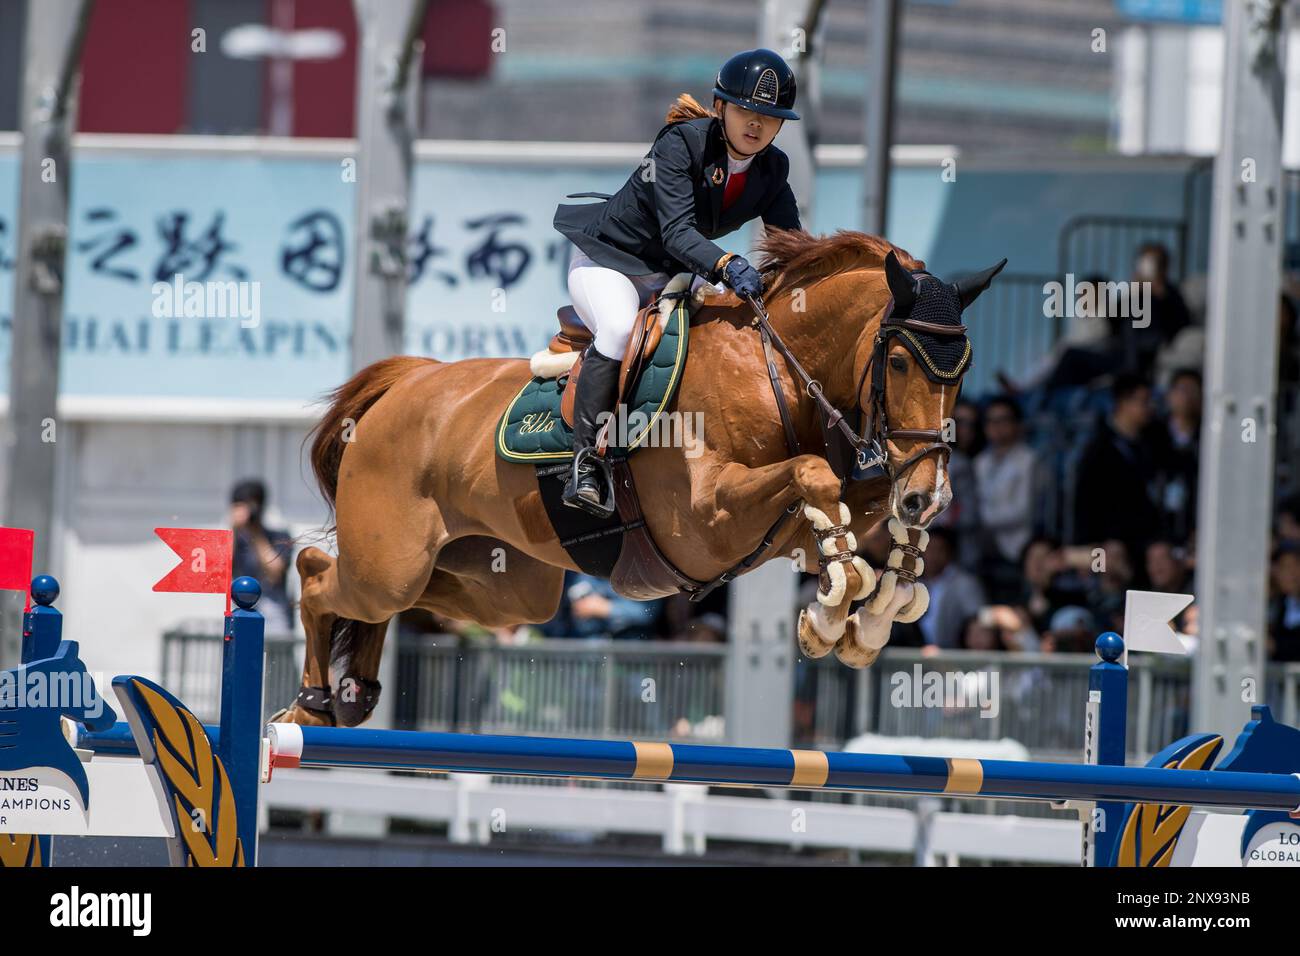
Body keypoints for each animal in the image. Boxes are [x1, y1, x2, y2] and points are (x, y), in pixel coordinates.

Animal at [282, 231, 1003, 723]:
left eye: (965, 368)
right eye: (901, 363)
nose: (927, 493)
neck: (773, 370)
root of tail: (403, 385)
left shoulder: (782, 530)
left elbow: (857, 515)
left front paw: (878, 607)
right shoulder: (704, 523)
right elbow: (816, 479)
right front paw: (831, 617)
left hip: (505, 584)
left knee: (403, 602)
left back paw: (353, 691)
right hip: (392, 561)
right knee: (320, 575)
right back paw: (311, 703)